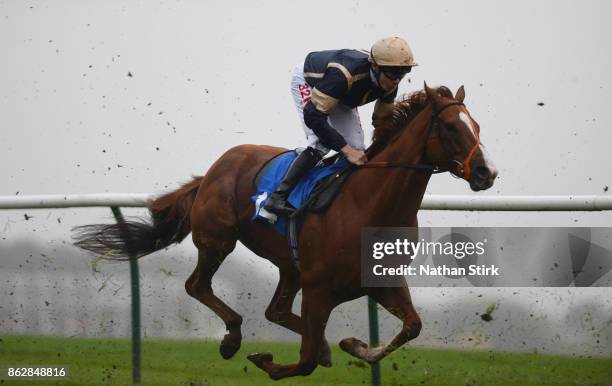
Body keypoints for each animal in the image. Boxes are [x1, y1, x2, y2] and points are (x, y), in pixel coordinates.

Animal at [73, 82, 498, 380]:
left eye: (477, 126)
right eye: (449, 126)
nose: (486, 172)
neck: (370, 205)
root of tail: (213, 168)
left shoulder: (380, 281)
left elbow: (412, 326)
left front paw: (354, 344)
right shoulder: (319, 288)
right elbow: (305, 361)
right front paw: (270, 360)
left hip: (289, 266)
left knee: (275, 310)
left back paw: (319, 344)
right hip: (218, 240)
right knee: (198, 286)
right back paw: (232, 337)